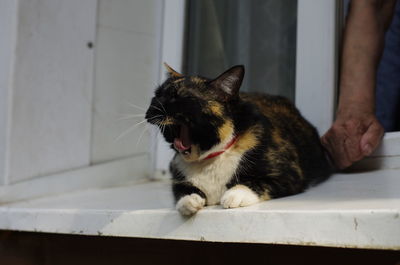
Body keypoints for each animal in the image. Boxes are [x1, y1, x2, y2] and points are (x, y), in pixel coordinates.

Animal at [145, 63, 332, 214]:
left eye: (179, 96)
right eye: (156, 95)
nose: (153, 107)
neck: (210, 160)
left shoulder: (289, 175)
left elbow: (257, 182)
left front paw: (234, 194)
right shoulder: (177, 174)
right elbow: (181, 189)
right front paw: (189, 201)